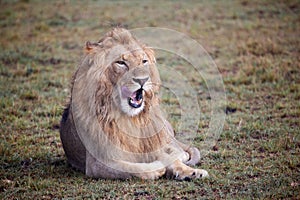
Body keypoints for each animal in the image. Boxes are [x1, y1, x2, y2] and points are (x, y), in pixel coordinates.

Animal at [59, 27, 207, 180]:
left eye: (144, 61)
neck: (128, 117)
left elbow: (168, 158)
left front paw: (189, 170)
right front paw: (157, 168)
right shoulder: (97, 163)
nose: (143, 80)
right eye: (121, 63)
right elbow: (131, 168)